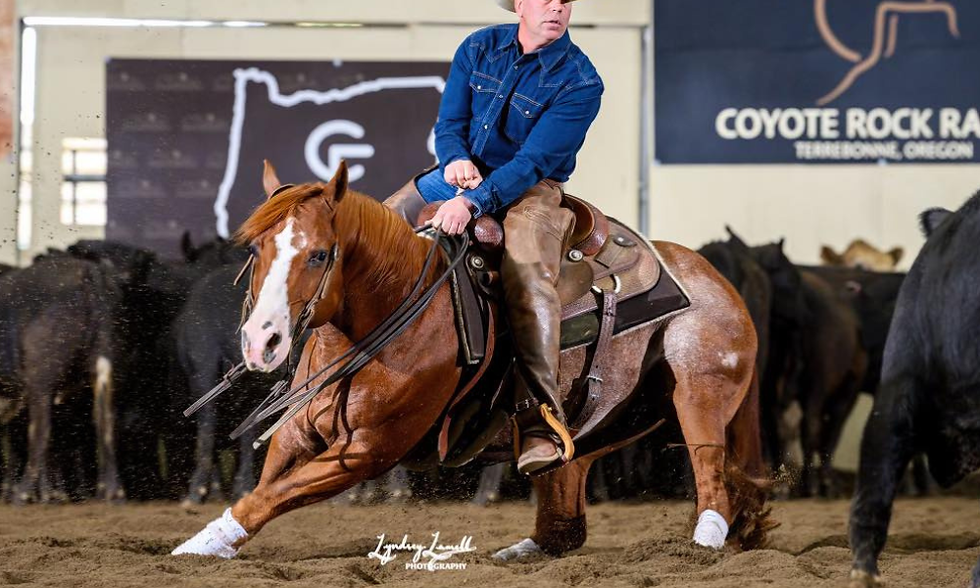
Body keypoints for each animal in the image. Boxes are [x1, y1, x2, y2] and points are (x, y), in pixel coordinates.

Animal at [172, 161, 773, 560]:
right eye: (256, 250)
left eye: (319, 254)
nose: (261, 341)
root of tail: (717, 279)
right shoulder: (300, 432)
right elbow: (264, 488)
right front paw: (207, 540)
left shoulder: (367, 450)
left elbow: (269, 498)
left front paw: (200, 545)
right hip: (609, 420)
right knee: (566, 499)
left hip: (698, 390)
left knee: (710, 465)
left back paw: (705, 542)